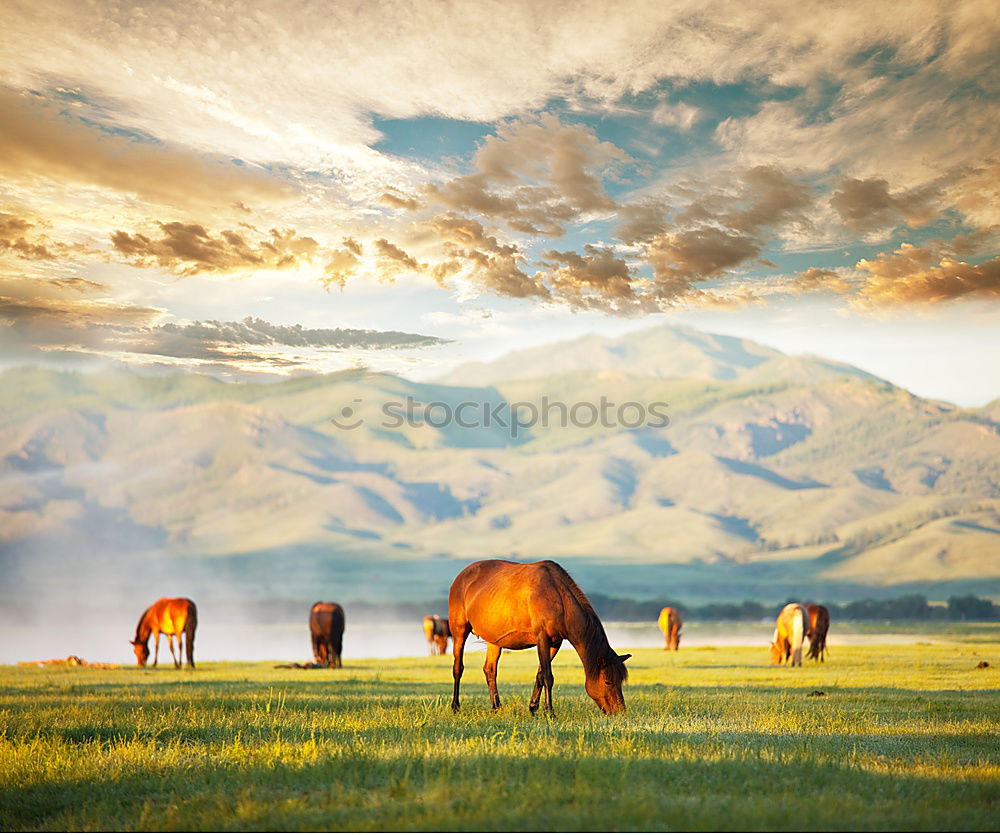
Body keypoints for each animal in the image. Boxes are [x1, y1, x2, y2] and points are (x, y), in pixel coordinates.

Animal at [448, 560, 628, 716]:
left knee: (490, 670)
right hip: (459, 632)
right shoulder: (542, 638)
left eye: (620, 680)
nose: (620, 712)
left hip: (494, 641)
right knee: (458, 668)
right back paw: (455, 706)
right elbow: (548, 676)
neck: (559, 596)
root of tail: (462, 576)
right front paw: (550, 712)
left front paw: (533, 707)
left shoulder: (555, 643)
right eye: (607, 682)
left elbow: (540, 675)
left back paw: (496, 707)